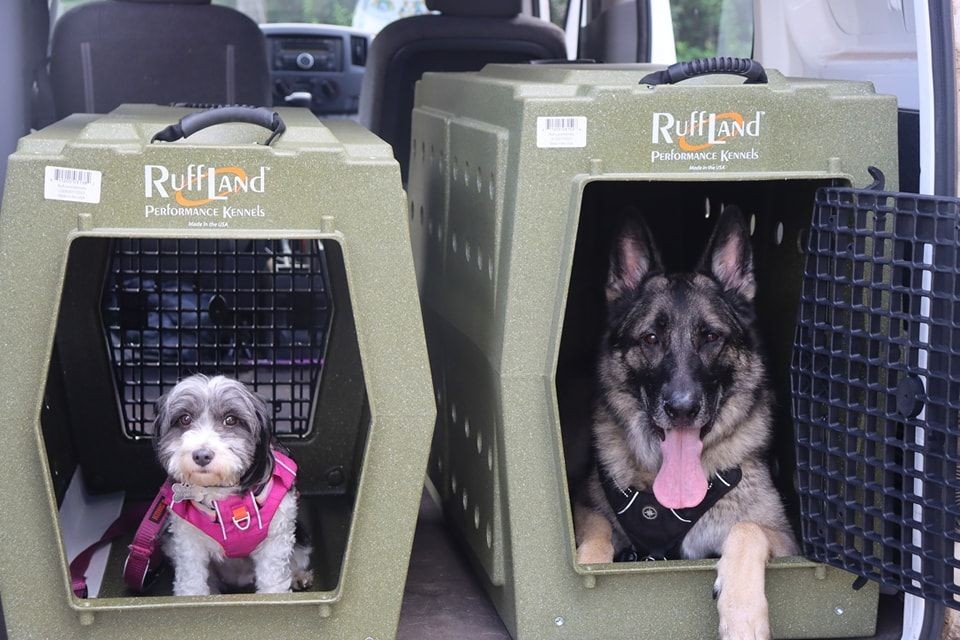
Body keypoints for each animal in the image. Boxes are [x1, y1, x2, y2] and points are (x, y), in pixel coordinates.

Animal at [572, 206, 800, 640]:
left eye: (711, 336)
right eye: (650, 339)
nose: (681, 408)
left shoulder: (787, 540)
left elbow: (747, 529)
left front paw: (743, 616)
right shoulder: (585, 509)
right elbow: (593, 542)